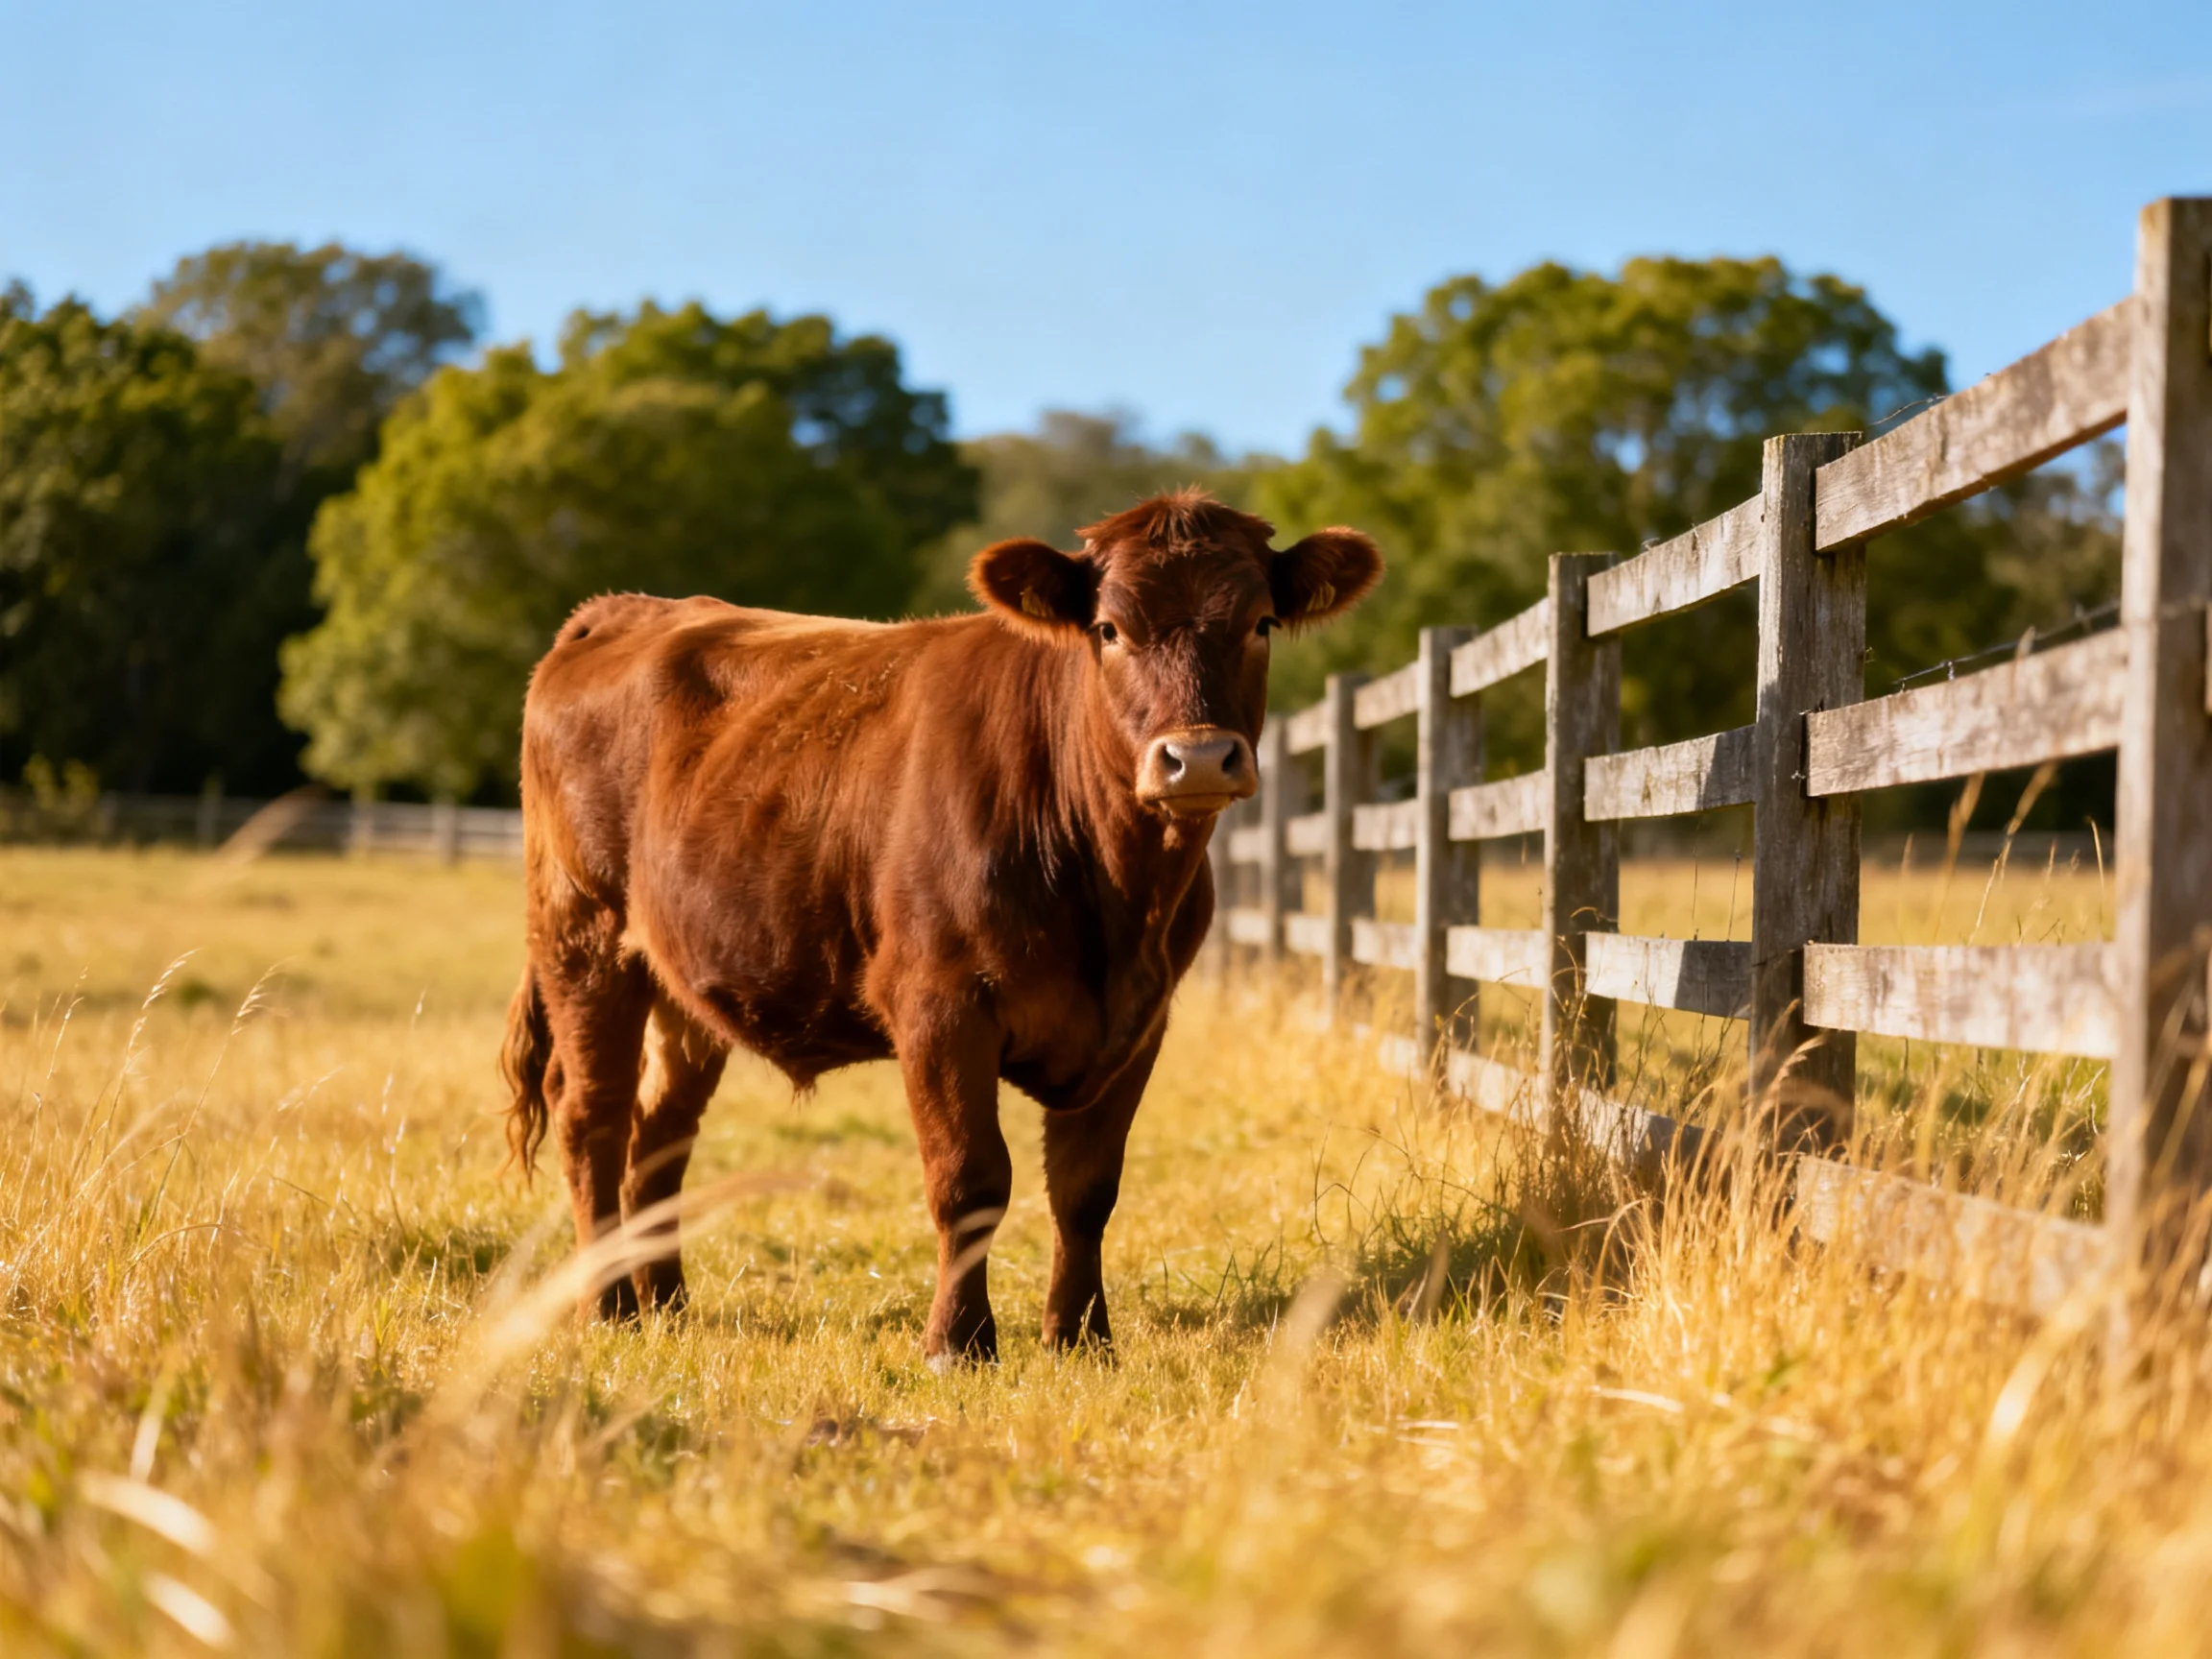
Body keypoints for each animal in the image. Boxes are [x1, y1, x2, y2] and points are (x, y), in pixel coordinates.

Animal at [500, 490, 1381, 1363]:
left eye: (1260, 623)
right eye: (1109, 628)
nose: (1196, 758)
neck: (1114, 895)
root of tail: (625, 608)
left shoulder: (1140, 1022)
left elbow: (1087, 1191)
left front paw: (1080, 1338)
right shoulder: (939, 1004)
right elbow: (970, 1180)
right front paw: (958, 1341)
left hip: (681, 983)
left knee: (660, 1133)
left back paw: (668, 1304)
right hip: (583, 937)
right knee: (594, 1118)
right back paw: (608, 1305)